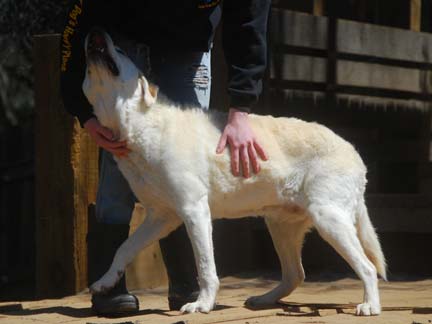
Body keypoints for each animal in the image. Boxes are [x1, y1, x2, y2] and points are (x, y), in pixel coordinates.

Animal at [82, 29, 386, 316]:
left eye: (120, 49)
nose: (94, 31)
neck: (141, 127)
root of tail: (354, 152)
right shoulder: (161, 216)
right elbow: (124, 248)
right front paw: (105, 283)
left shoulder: (194, 210)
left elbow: (206, 268)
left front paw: (202, 304)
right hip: (280, 225)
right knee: (296, 274)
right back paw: (262, 300)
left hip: (328, 219)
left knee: (367, 267)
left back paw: (370, 306)